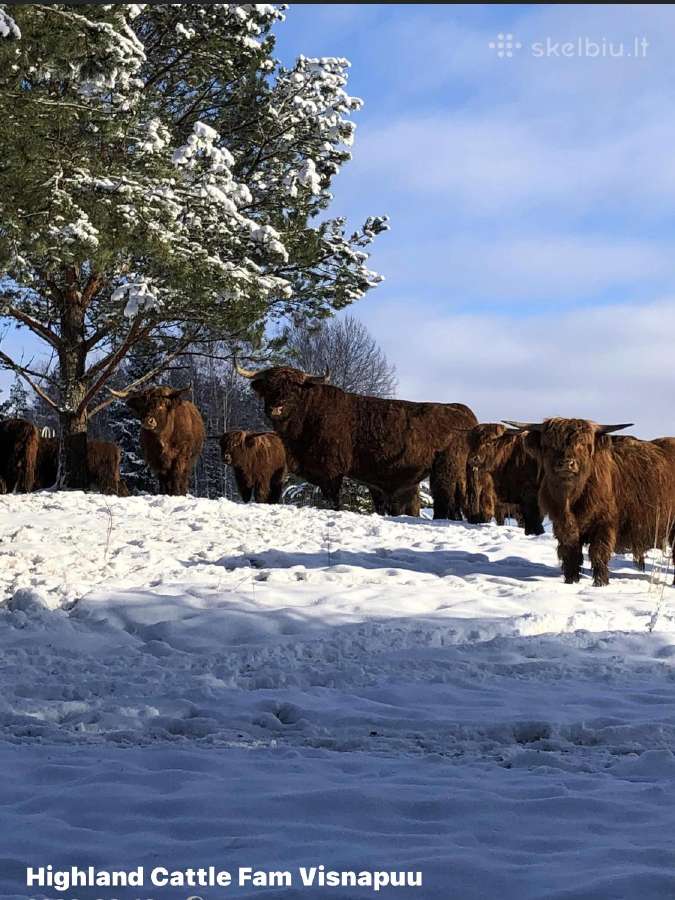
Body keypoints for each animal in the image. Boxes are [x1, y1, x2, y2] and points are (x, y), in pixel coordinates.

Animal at [234, 364, 477, 516]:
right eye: (269, 387)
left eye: (294, 388)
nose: (276, 408)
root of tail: (462, 410)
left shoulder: (331, 472)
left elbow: (333, 501)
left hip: (446, 475)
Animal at [505, 418, 675, 586]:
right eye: (549, 444)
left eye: (582, 443)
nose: (566, 463)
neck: (571, 499)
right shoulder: (562, 525)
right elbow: (570, 553)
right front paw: (571, 580)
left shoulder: (604, 524)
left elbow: (598, 553)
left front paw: (601, 583)